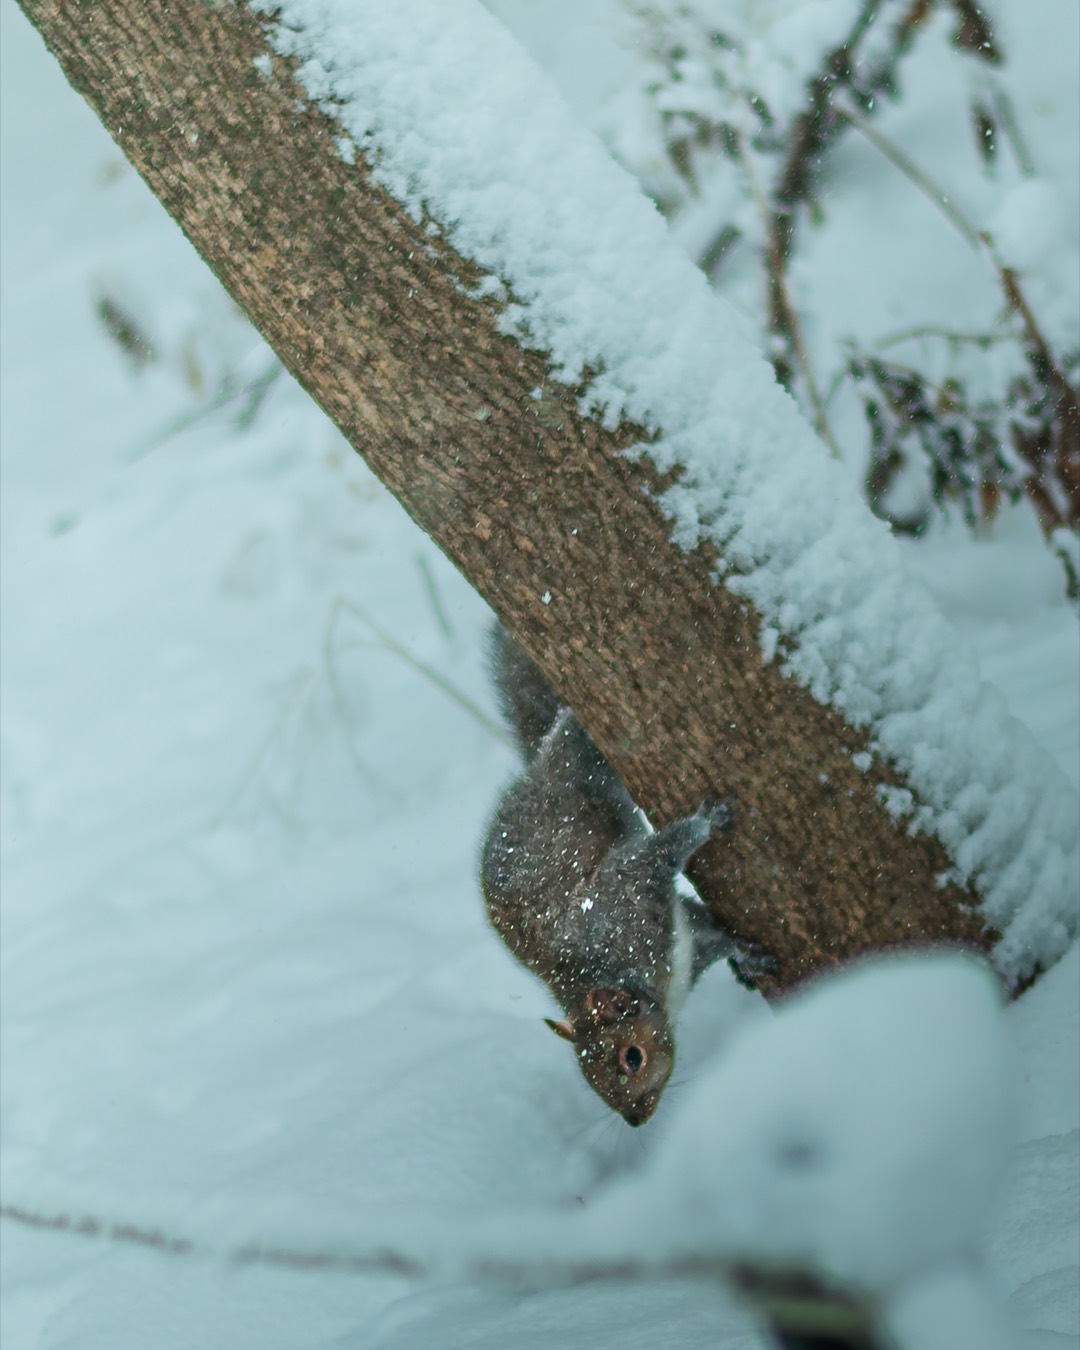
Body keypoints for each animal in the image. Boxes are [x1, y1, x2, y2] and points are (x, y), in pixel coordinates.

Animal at [480, 624, 753, 1127]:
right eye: (588, 1079)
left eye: (632, 1057)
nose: (635, 1120)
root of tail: (538, 766)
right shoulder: (682, 942)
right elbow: (709, 932)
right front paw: (747, 955)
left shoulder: (623, 899)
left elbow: (660, 855)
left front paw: (707, 823)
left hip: (579, 765)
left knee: (575, 737)